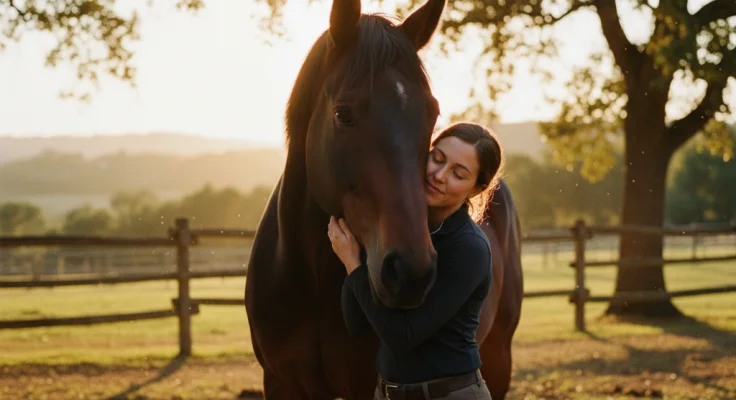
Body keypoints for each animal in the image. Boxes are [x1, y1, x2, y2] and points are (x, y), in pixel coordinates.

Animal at [244, 0, 523, 397]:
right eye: (343, 113)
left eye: (432, 113)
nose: (411, 273)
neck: (311, 282)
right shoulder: (281, 382)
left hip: (499, 358)